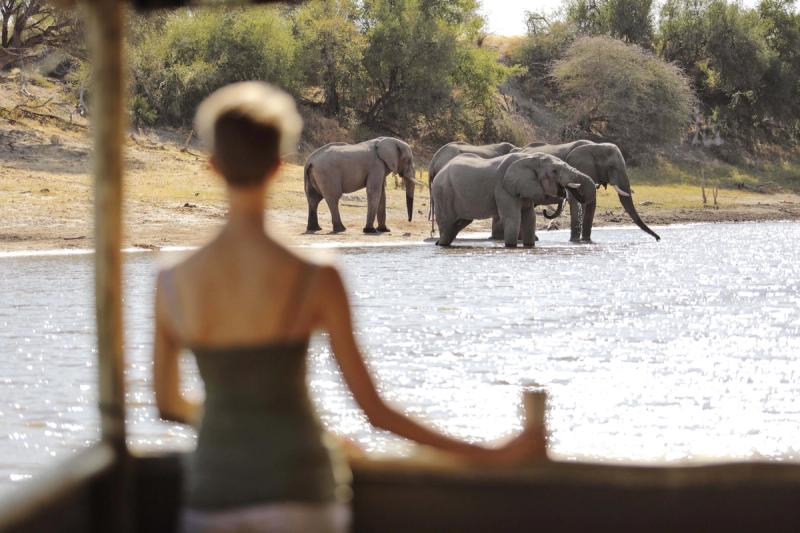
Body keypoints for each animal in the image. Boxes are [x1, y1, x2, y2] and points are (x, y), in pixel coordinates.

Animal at [431, 152, 597, 248]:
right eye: (554, 171)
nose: (545, 211)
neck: (530, 158)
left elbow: (529, 218)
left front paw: (529, 246)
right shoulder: (503, 188)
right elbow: (513, 218)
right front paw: (511, 246)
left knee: (458, 224)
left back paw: (440, 243)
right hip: (443, 193)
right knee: (447, 223)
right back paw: (441, 245)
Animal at [517, 140, 661, 242]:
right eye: (611, 166)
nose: (658, 239)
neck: (595, 146)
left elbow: (592, 203)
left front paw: (586, 241)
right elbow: (576, 202)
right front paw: (575, 241)